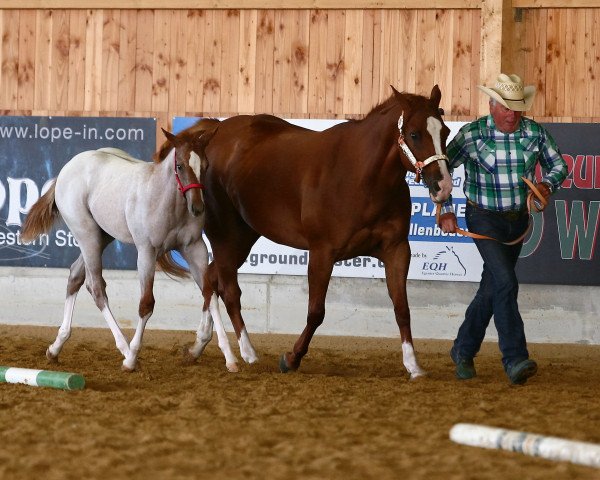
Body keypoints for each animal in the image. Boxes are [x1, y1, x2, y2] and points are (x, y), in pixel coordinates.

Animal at [177, 86, 450, 378]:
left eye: (444, 132)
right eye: (415, 134)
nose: (443, 186)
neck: (361, 177)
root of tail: (214, 133)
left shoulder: (397, 250)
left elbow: (402, 308)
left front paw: (413, 364)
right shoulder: (322, 252)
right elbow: (316, 311)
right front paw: (292, 357)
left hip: (243, 237)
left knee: (211, 280)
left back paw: (199, 344)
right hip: (226, 236)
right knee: (229, 291)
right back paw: (247, 352)